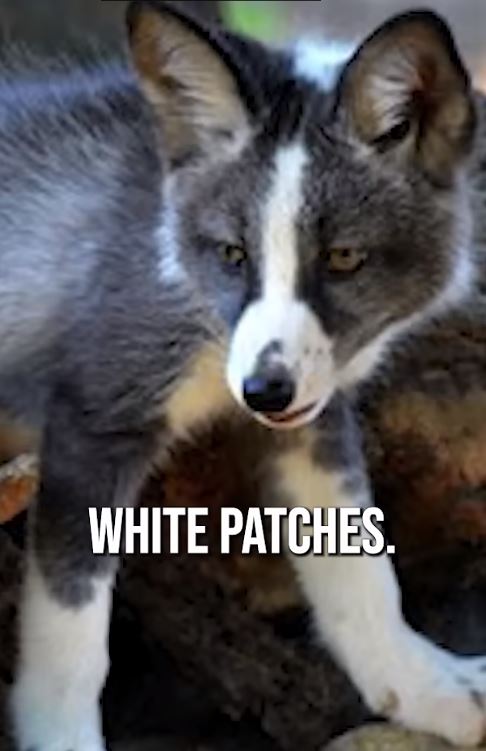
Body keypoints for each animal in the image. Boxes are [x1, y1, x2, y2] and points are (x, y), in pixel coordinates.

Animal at [1, 1, 484, 749]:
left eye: (344, 257)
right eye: (232, 253)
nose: (264, 391)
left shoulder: (311, 417)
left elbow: (362, 572)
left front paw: (423, 689)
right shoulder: (93, 412)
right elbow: (72, 644)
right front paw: (62, 741)